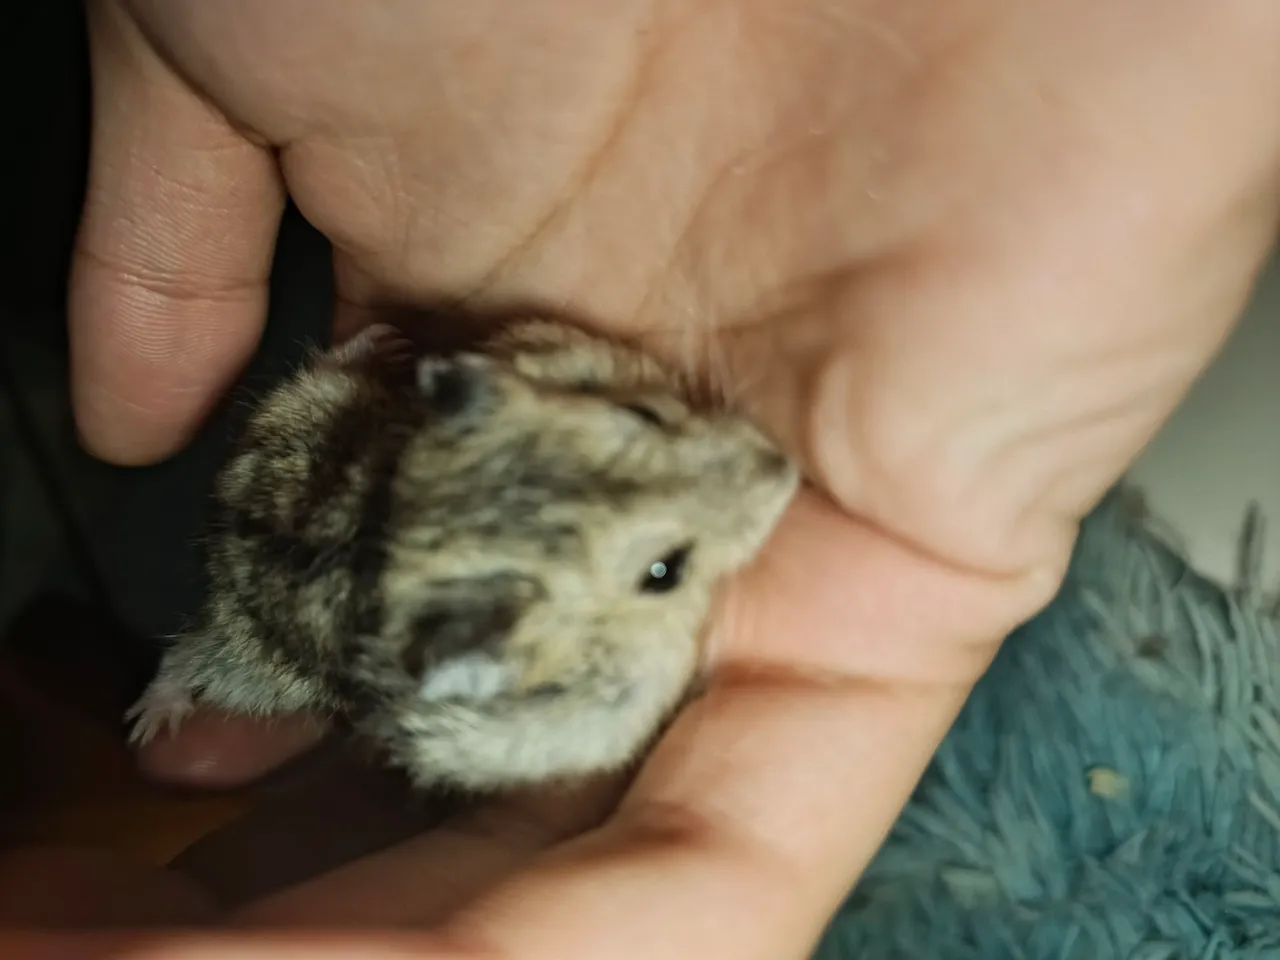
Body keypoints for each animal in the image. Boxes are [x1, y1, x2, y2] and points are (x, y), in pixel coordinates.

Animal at [126, 319, 798, 791]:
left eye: (645, 410)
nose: (787, 468)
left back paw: (385, 343)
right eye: (664, 572)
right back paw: (149, 720)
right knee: (190, 655)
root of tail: (223, 509)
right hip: (259, 667)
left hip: (305, 409)